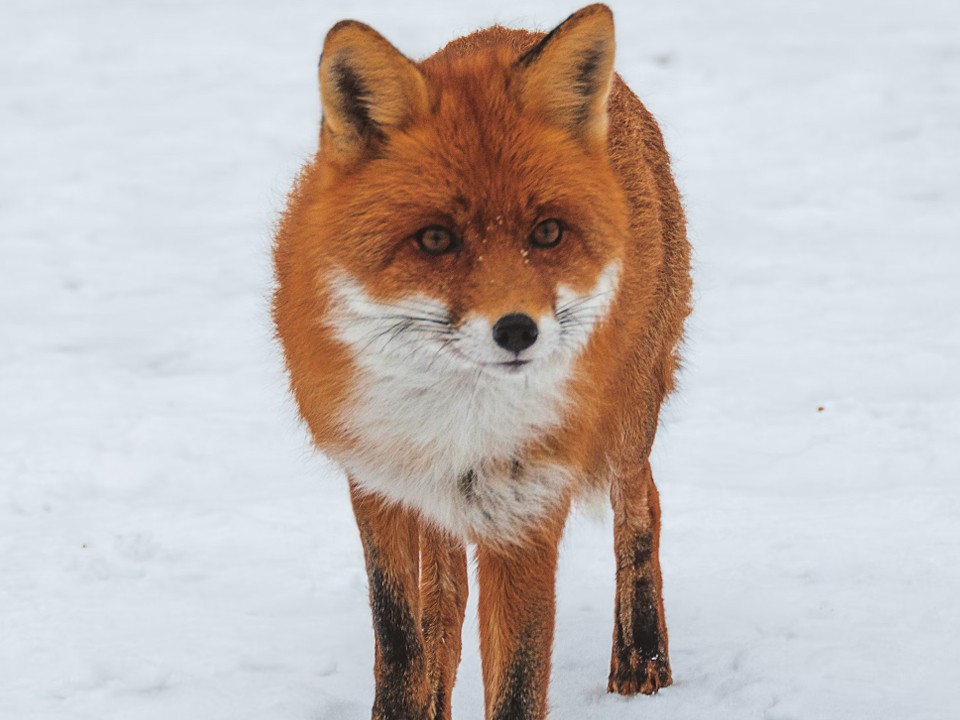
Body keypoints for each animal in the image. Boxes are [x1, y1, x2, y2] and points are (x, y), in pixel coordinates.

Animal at [272, 5, 688, 720]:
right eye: (436, 239)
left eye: (547, 233)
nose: (518, 330)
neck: (459, 418)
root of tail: (511, 29)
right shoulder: (378, 483)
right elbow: (400, 634)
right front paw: (407, 704)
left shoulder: (529, 505)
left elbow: (518, 674)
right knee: (444, 600)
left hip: (628, 421)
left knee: (643, 507)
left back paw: (642, 658)